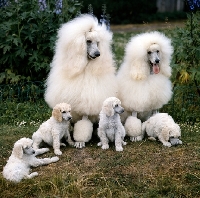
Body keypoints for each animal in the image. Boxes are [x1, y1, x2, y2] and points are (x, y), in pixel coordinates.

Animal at [45, 13, 117, 148]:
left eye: (98, 43)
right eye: (88, 41)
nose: (98, 54)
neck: (84, 68)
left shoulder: (86, 103)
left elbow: (84, 120)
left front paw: (80, 140)